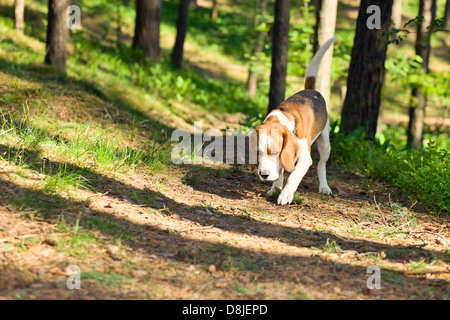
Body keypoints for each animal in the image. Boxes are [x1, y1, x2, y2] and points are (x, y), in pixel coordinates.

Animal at [251, 37, 336, 205]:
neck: (282, 116)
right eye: (257, 152)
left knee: (321, 165)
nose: (263, 175)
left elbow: (293, 176)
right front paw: (275, 188)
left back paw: (324, 186)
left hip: (325, 143)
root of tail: (311, 90)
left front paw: (285, 194)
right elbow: (280, 170)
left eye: (274, 152)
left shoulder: (303, 158)